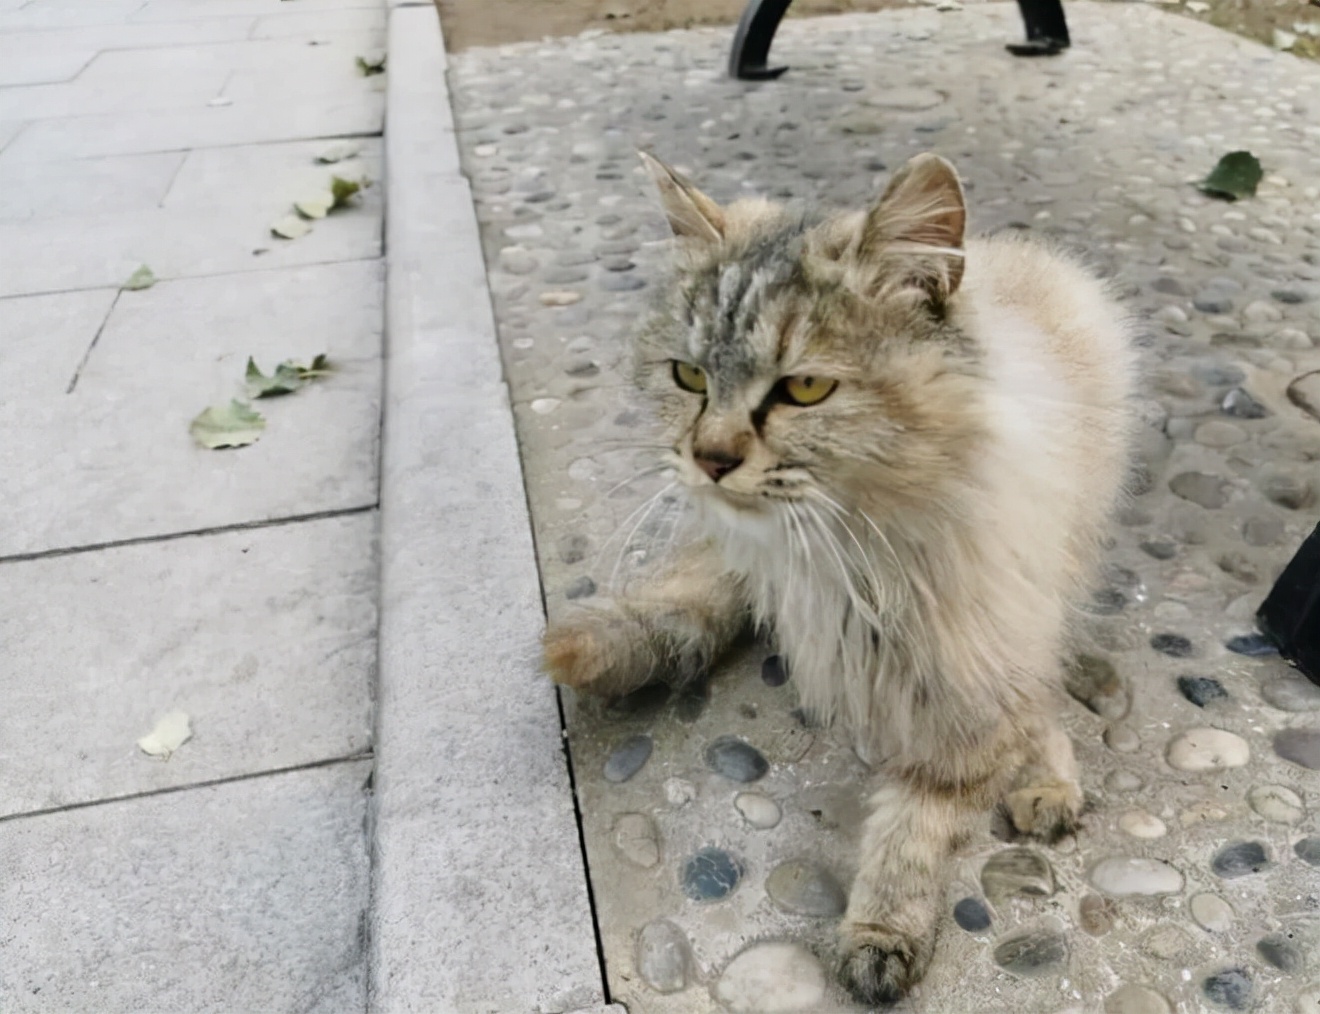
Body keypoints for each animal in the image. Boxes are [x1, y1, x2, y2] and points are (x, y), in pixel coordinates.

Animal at [541, 150, 1140, 1003]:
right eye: (688, 377)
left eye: (805, 389)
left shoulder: (972, 662)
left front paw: (883, 931)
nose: (709, 459)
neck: (847, 546)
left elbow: (921, 818)